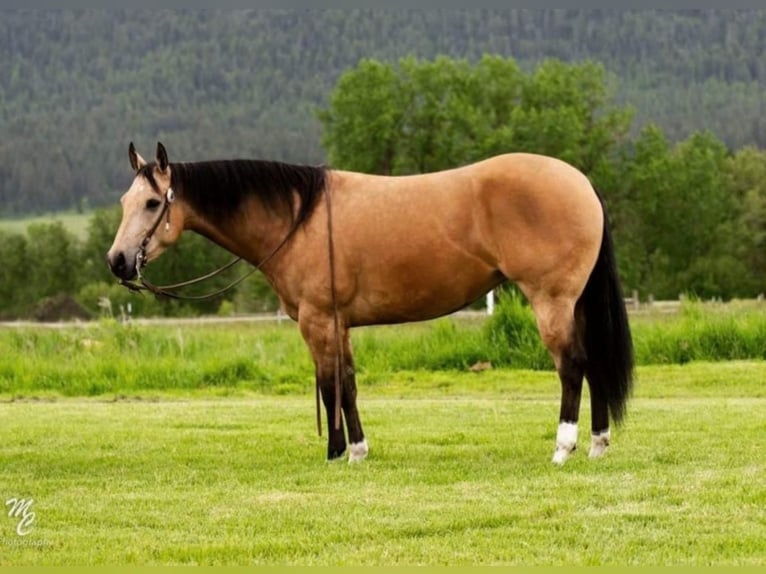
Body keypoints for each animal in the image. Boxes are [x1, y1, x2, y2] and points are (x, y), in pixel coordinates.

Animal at [108, 143, 636, 468]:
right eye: (123, 202)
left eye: (153, 203)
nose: (117, 261)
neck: (298, 218)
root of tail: (582, 183)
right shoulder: (339, 324)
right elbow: (348, 384)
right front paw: (359, 450)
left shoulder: (317, 322)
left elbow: (328, 386)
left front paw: (335, 451)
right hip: (575, 304)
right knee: (592, 365)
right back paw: (598, 444)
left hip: (551, 301)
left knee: (572, 367)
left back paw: (564, 447)